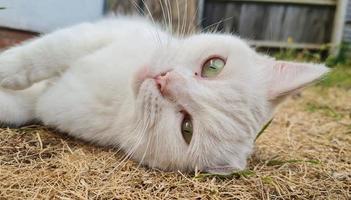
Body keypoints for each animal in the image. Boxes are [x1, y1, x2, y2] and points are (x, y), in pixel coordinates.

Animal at [0, 16, 330, 174]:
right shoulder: (93, 36)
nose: (165, 80)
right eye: (213, 66)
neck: (119, 93)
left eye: (187, 128)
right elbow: (39, 56)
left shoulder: (46, 104)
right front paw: (6, 67)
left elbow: (18, 106)